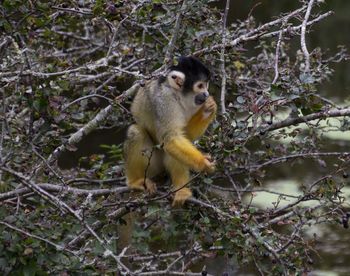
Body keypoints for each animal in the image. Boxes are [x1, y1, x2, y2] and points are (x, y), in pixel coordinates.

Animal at [123, 57, 216, 206]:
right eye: (200, 86)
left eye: (206, 85)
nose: (207, 94)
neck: (178, 95)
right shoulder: (164, 100)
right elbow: (171, 137)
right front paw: (204, 163)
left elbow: (184, 136)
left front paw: (208, 109)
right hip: (151, 166)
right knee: (136, 133)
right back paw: (135, 182)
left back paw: (181, 190)